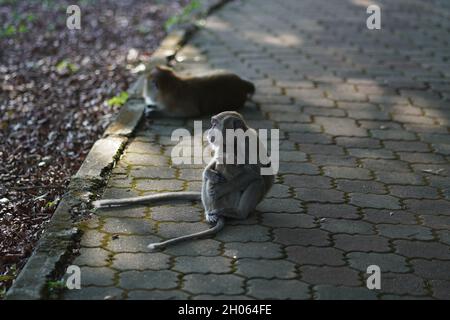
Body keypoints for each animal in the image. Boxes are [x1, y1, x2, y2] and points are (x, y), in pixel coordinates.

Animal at [93, 112, 272, 250]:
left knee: (255, 181)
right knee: (217, 171)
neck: (233, 142)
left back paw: (237, 213)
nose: (209, 130)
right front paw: (209, 173)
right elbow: (213, 166)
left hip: (232, 201)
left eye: (215, 124)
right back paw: (211, 211)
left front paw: (221, 188)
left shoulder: (248, 144)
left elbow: (255, 173)